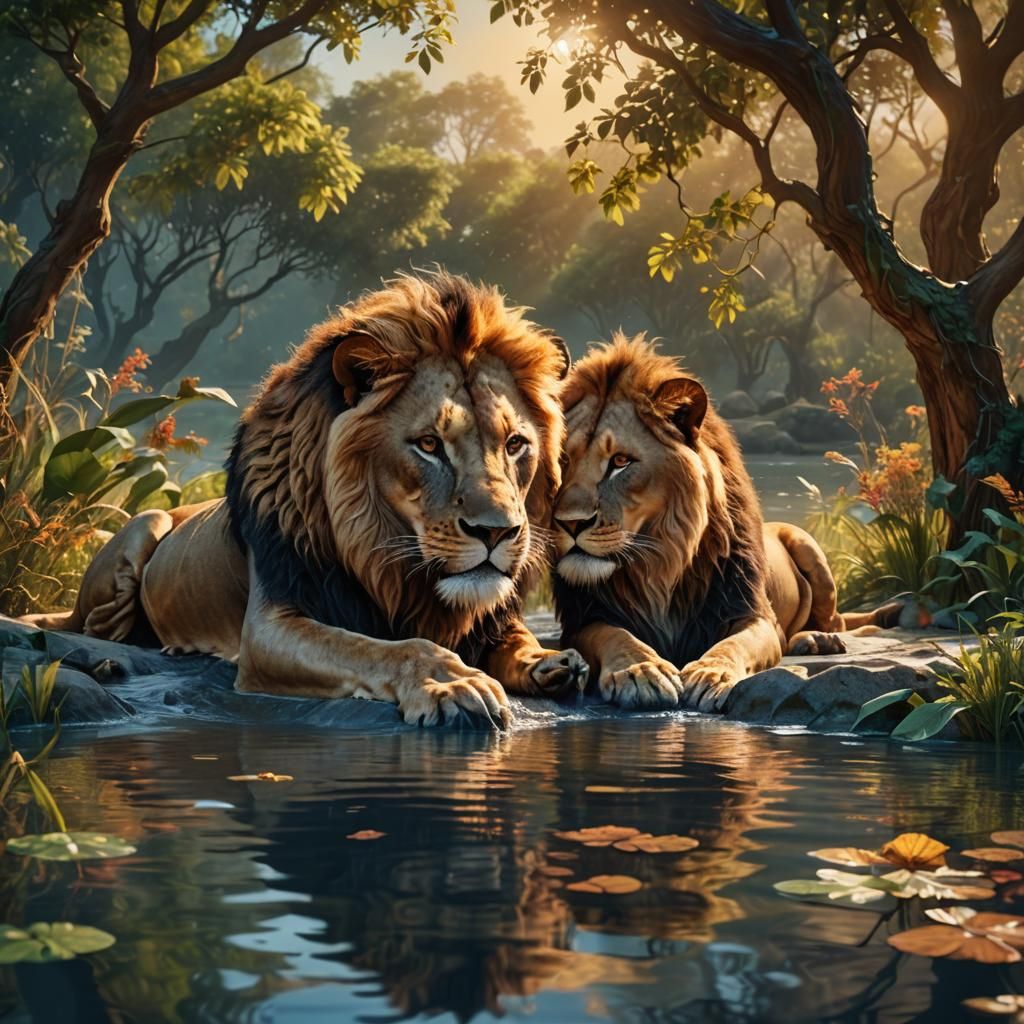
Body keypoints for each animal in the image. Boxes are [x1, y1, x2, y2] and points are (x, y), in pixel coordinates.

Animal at [26, 273, 589, 728]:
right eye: (429, 445)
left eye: (514, 444)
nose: (498, 532)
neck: (392, 566)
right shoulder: (269, 627)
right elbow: (381, 648)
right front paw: (452, 682)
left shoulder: (491, 618)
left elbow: (515, 638)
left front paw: (550, 662)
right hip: (142, 528)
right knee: (93, 629)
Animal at [551, 334, 894, 714]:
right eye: (563, 460)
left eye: (621, 462)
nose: (569, 524)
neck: (660, 562)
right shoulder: (584, 619)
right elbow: (616, 636)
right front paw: (641, 671)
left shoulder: (751, 613)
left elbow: (733, 645)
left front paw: (710, 675)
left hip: (810, 548)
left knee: (834, 622)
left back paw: (820, 639)